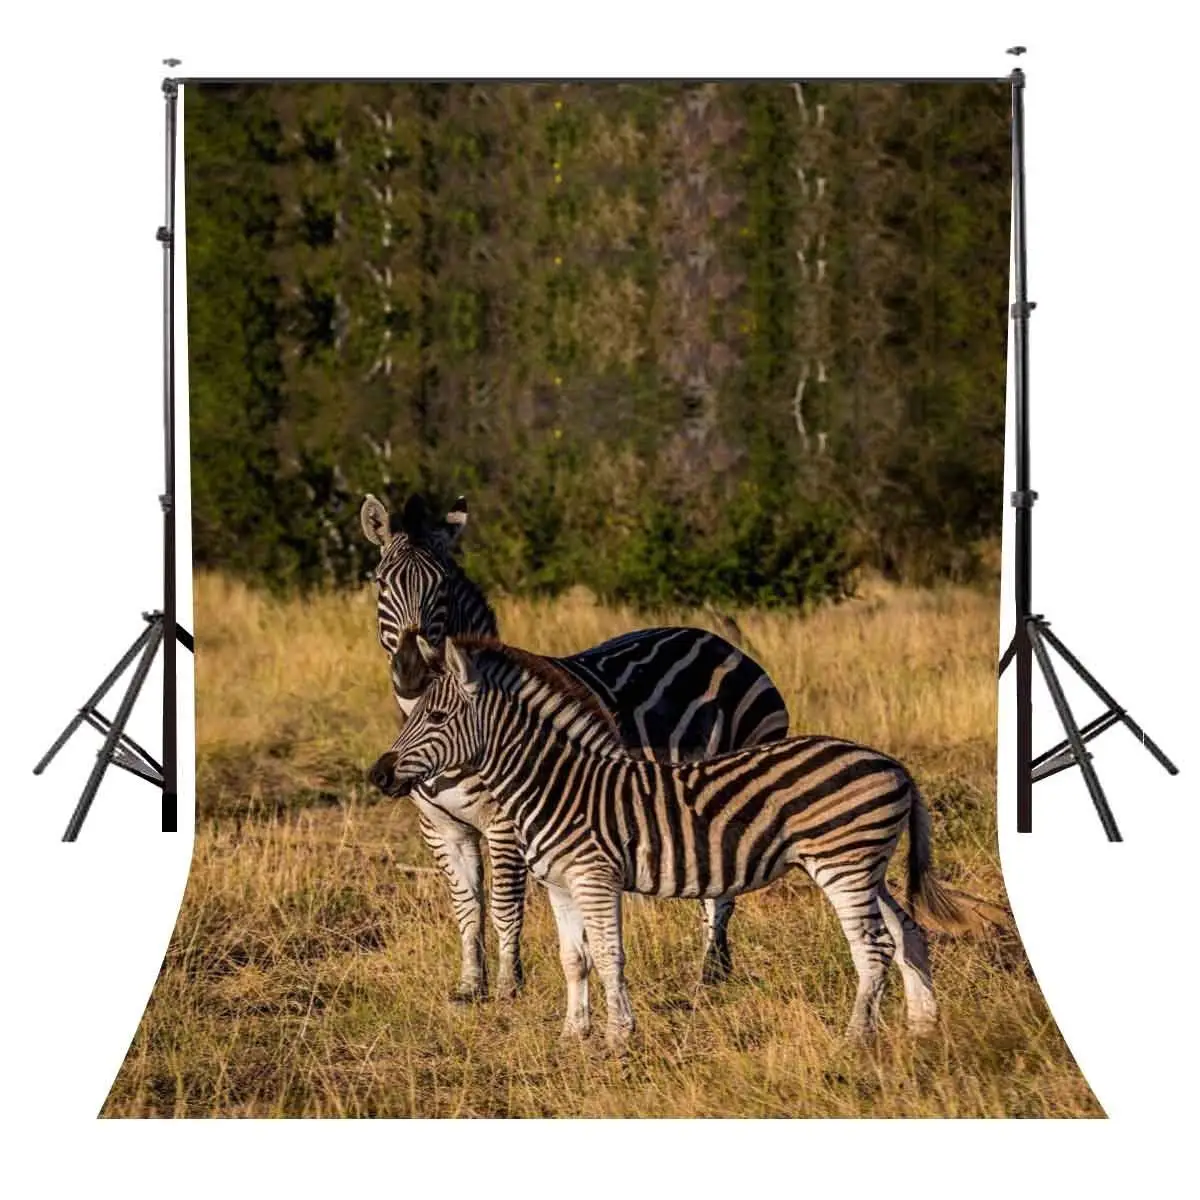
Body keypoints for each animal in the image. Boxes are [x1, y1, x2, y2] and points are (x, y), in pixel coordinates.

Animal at [360, 493, 790, 1002]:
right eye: (382, 582)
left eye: (442, 586)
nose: (409, 671)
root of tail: (721, 642)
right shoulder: (441, 828)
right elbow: (466, 905)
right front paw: (469, 986)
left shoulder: (506, 824)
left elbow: (503, 904)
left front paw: (508, 987)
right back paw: (716, 970)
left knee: (722, 893)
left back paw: (709, 973)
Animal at [368, 636, 1005, 1049]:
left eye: (438, 718)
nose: (377, 774)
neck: (556, 783)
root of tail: (894, 764)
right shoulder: (558, 884)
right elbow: (574, 960)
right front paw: (573, 1034)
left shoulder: (595, 878)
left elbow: (609, 956)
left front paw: (618, 1038)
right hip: (866, 867)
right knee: (907, 932)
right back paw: (922, 1027)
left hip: (843, 864)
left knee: (871, 948)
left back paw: (855, 1040)